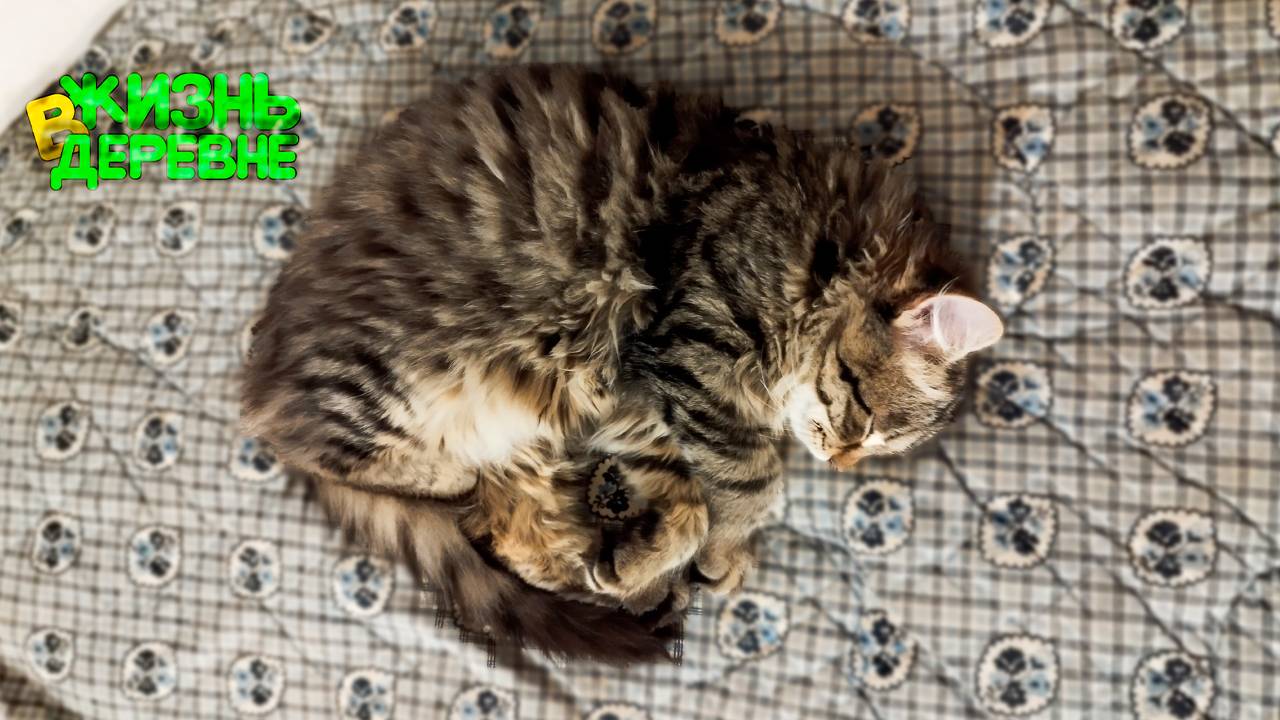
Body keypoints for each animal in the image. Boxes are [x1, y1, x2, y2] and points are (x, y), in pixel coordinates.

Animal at [241, 64, 1002, 663]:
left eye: (878, 445)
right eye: (868, 420)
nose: (843, 463)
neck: (815, 239)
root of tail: (262, 380)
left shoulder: (641, 398)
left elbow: (687, 502)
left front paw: (652, 556)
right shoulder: (691, 350)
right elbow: (748, 485)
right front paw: (723, 553)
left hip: (526, 428)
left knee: (503, 525)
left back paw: (602, 555)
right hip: (391, 392)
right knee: (393, 480)